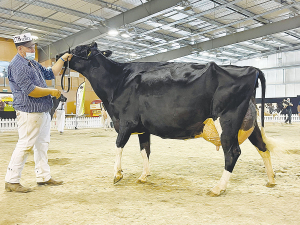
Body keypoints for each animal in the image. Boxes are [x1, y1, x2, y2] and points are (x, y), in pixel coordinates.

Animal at [62, 41, 276, 195]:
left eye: (79, 49)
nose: (58, 56)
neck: (118, 80)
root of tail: (252, 69)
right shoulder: (142, 128)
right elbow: (145, 151)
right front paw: (143, 176)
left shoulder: (126, 122)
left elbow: (118, 146)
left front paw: (117, 174)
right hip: (249, 123)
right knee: (262, 147)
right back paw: (271, 180)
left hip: (228, 120)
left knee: (233, 152)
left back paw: (218, 188)